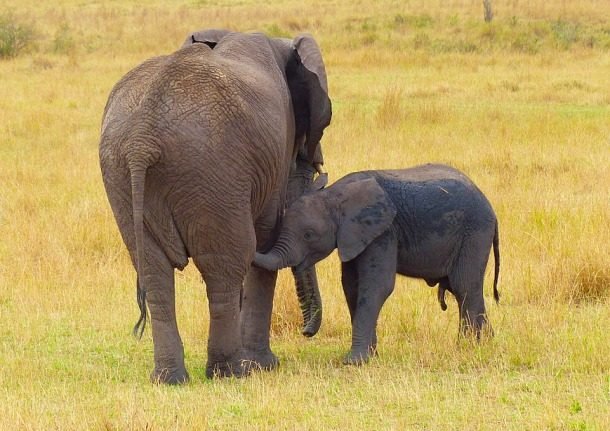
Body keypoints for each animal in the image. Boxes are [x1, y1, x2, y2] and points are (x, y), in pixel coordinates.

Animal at [98, 28, 330, 384]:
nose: (307, 333)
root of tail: (142, 139)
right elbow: (264, 241)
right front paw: (263, 365)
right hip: (212, 168)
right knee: (226, 263)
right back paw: (231, 372)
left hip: (123, 172)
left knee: (153, 269)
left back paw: (170, 379)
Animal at [254, 165, 496, 364]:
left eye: (309, 235)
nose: (305, 333)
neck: (333, 194)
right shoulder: (354, 236)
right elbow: (351, 287)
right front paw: (371, 356)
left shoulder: (383, 231)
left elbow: (377, 286)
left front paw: (354, 361)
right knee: (462, 289)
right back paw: (485, 343)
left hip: (475, 232)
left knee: (465, 286)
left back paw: (470, 347)